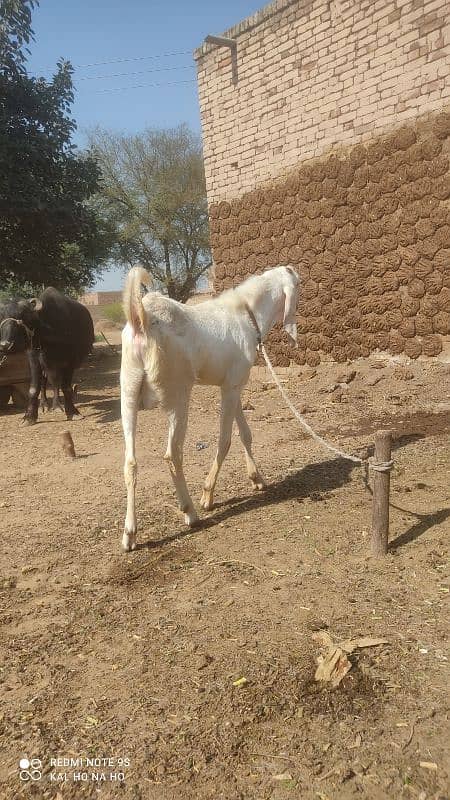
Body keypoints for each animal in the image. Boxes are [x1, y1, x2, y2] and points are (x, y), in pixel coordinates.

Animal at [0, 290, 93, 424]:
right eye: (1, 316)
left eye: (23, 315)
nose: (5, 345)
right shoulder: (34, 358)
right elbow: (33, 389)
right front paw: (29, 417)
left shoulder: (70, 361)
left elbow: (66, 387)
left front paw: (73, 412)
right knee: (46, 382)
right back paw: (44, 405)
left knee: (56, 383)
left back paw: (57, 406)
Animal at [121, 262, 300, 552]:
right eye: (296, 281)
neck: (246, 313)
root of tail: (141, 318)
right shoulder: (230, 387)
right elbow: (225, 439)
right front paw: (208, 494)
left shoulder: (233, 385)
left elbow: (245, 434)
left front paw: (257, 479)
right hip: (178, 395)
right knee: (172, 455)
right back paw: (191, 513)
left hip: (127, 391)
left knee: (130, 462)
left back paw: (129, 534)